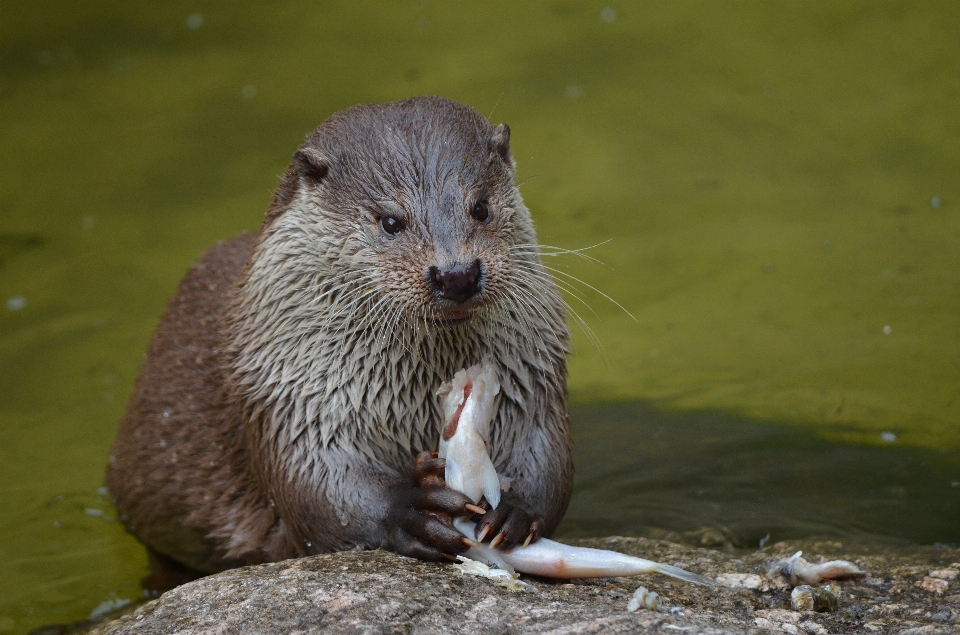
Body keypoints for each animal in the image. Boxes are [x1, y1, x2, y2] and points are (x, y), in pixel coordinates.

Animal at [107, 95, 568, 580]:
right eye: (390, 222)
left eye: (480, 207)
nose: (456, 273)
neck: (413, 395)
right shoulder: (288, 394)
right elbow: (320, 491)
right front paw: (409, 509)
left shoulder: (532, 375)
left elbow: (546, 453)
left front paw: (517, 509)